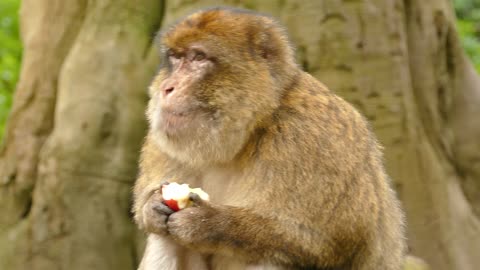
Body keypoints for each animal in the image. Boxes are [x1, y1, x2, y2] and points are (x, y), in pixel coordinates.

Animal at [133, 6, 406, 270]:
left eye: (199, 57)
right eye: (176, 58)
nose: (167, 87)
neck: (251, 130)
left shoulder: (311, 137)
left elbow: (328, 242)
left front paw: (208, 223)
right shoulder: (162, 144)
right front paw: (152, 207)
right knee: (164, 238)